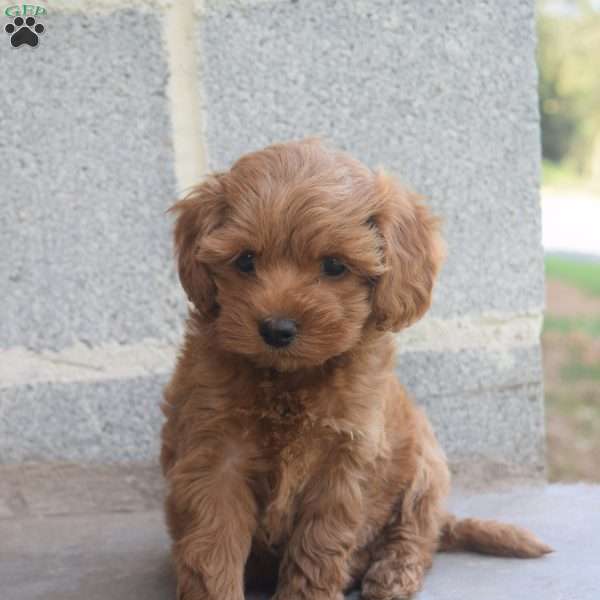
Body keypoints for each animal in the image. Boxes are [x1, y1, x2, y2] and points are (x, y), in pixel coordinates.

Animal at [161, 139, 552, 600]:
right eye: (245, 260)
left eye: (334, 265)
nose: (277, 329)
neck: (290, 379)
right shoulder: (215, 456)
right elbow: (212, 548)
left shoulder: (345, 462)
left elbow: (318, 547)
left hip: (427, 467)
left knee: (418, 534)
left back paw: (391, 574)